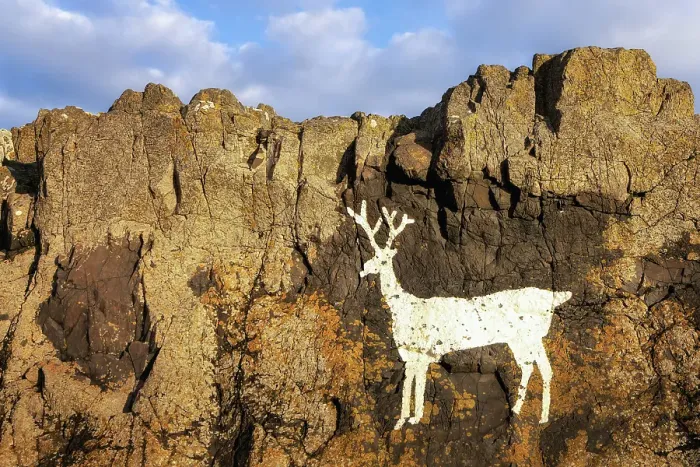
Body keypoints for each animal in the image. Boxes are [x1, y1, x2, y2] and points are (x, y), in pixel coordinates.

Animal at [347, 200, 572, 430]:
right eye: (372, 255)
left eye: (383, 260)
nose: (363, 270)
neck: (404, 308)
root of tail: (554, 297)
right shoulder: (408, 352)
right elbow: (409, 381)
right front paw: (403, 420)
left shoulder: (424, 350)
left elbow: (419, 383)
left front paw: (415, 418)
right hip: (524, 340)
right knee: (537, 368)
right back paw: (529, 413)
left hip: (529, 336)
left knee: (537, 367)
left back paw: (532, 414)